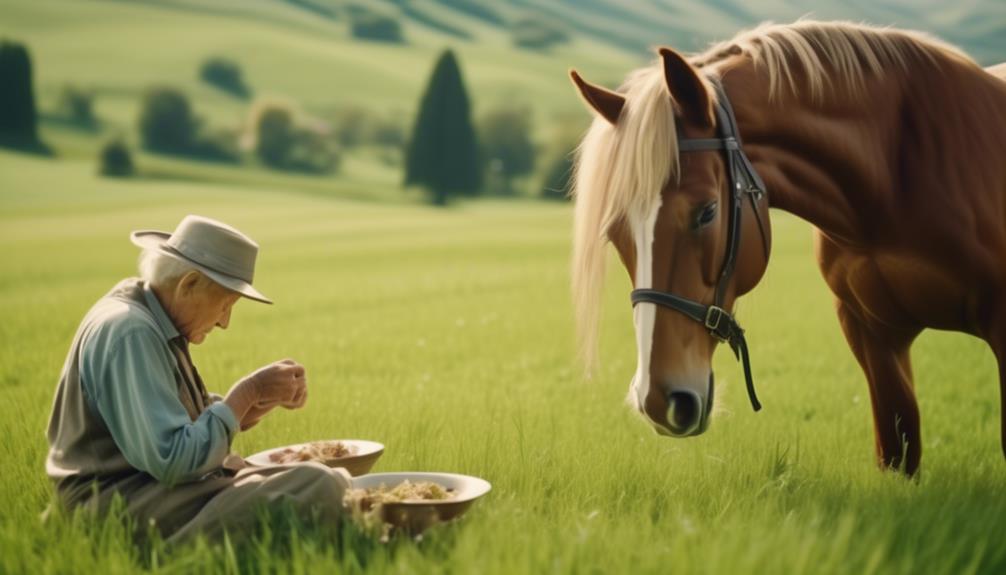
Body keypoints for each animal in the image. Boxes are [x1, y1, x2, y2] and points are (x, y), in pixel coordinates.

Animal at [568, 20, 1006, 475]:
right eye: (616, 231)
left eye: (707, 212)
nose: (658, 401)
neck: (894, 177)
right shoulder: (874, 336)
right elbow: (897, 451)